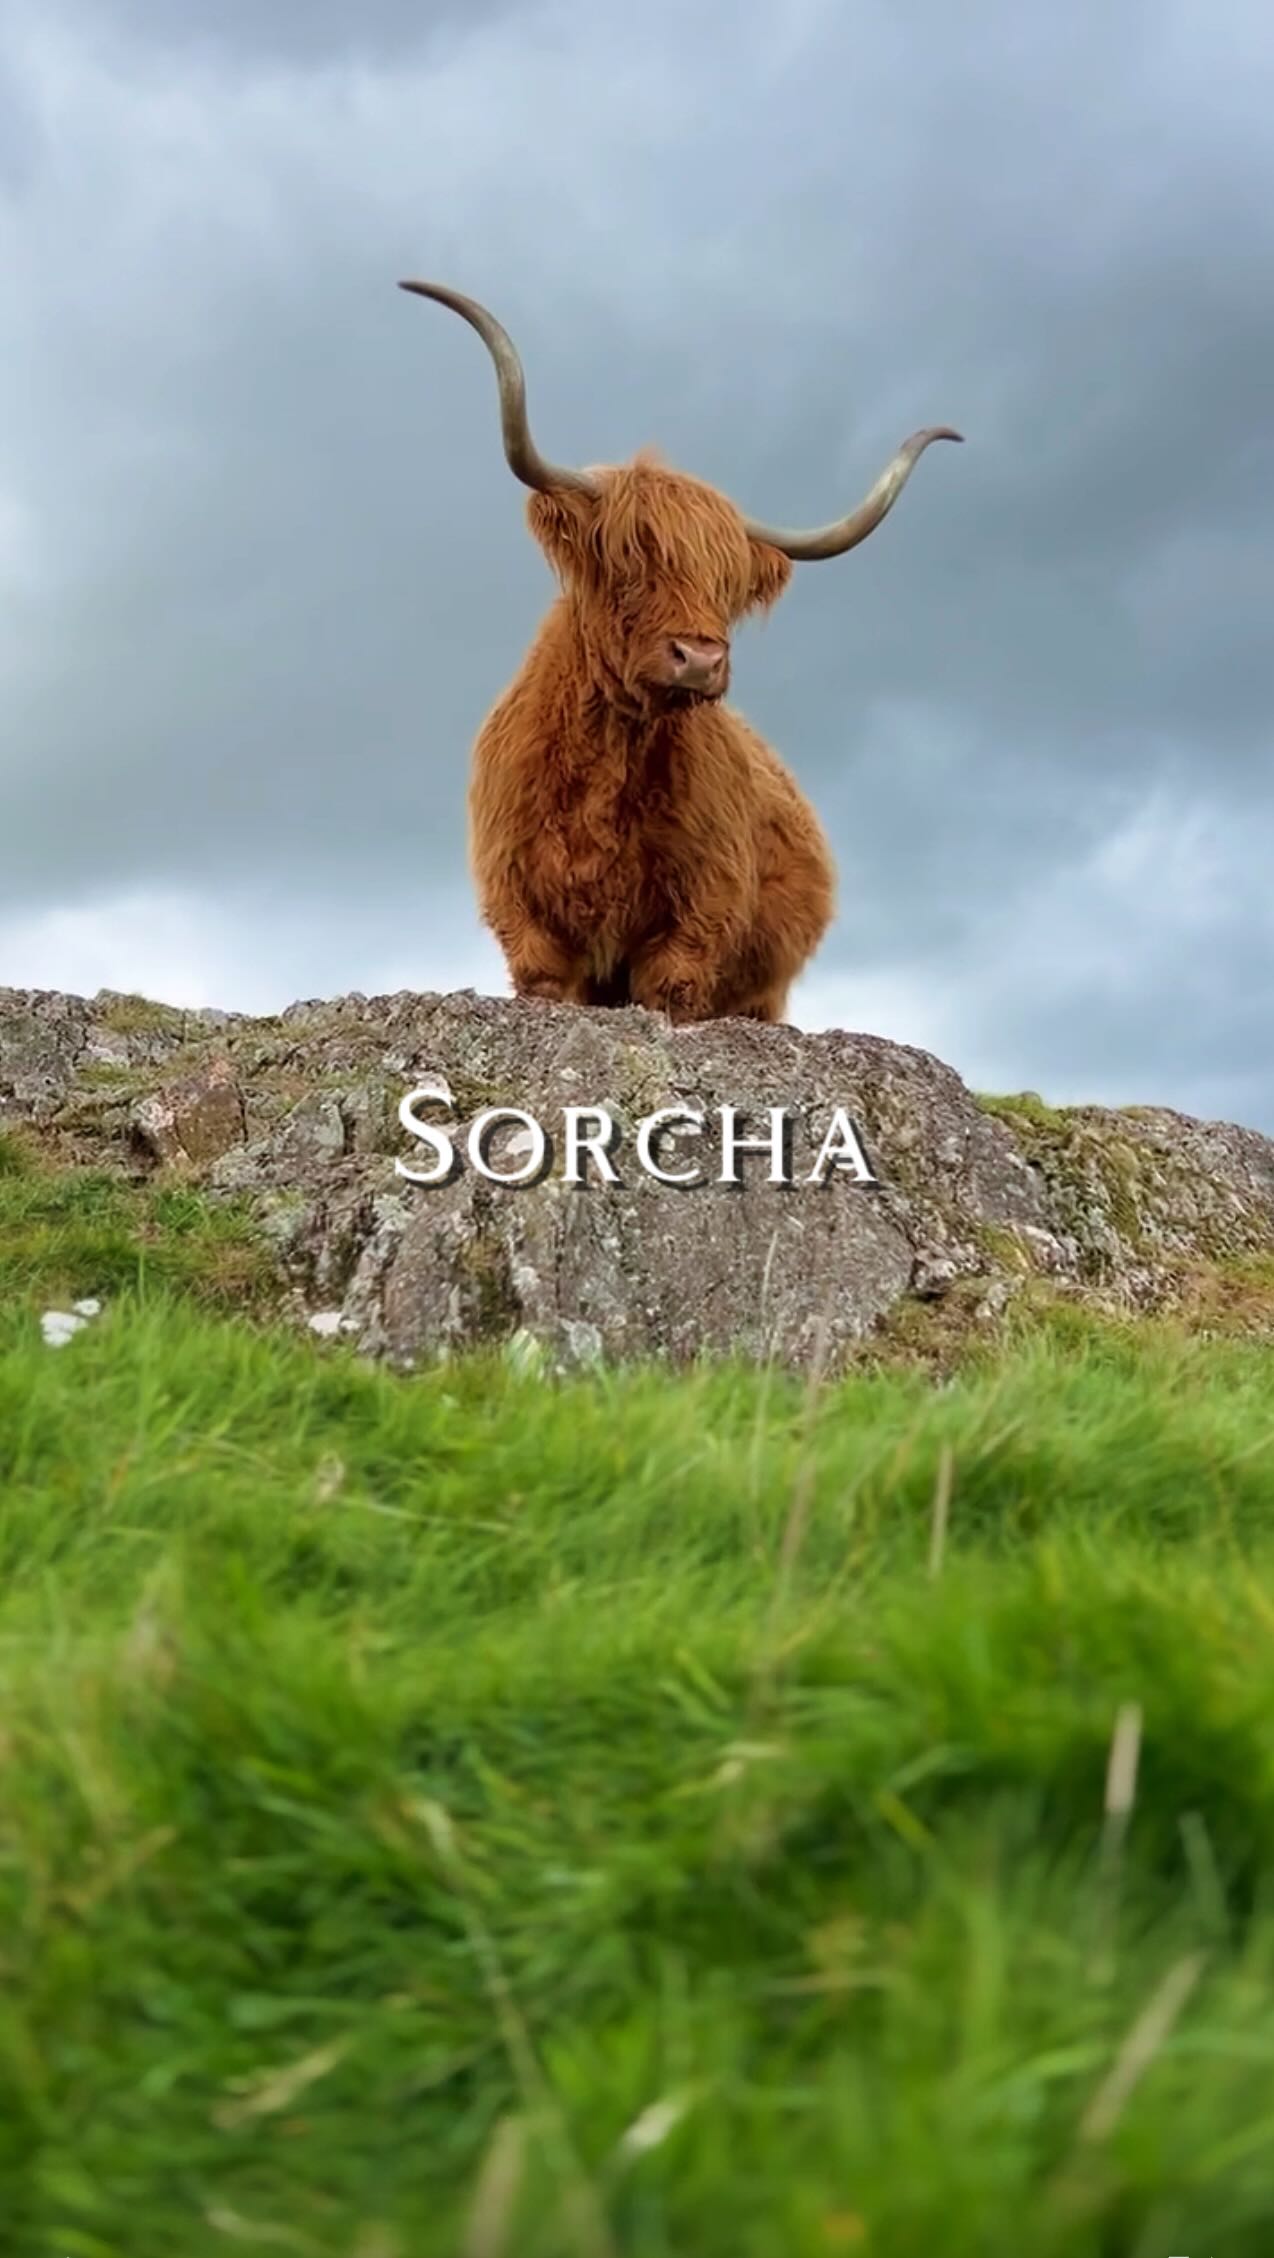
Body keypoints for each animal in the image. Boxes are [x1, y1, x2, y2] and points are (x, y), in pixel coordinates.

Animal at [398, 279, 961, 1026]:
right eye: (628, 561)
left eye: (728, 586)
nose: (699, 659)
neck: (609, 761)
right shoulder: (529, 924)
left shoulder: (694, 927)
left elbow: (672, 989)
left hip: (763, 990)